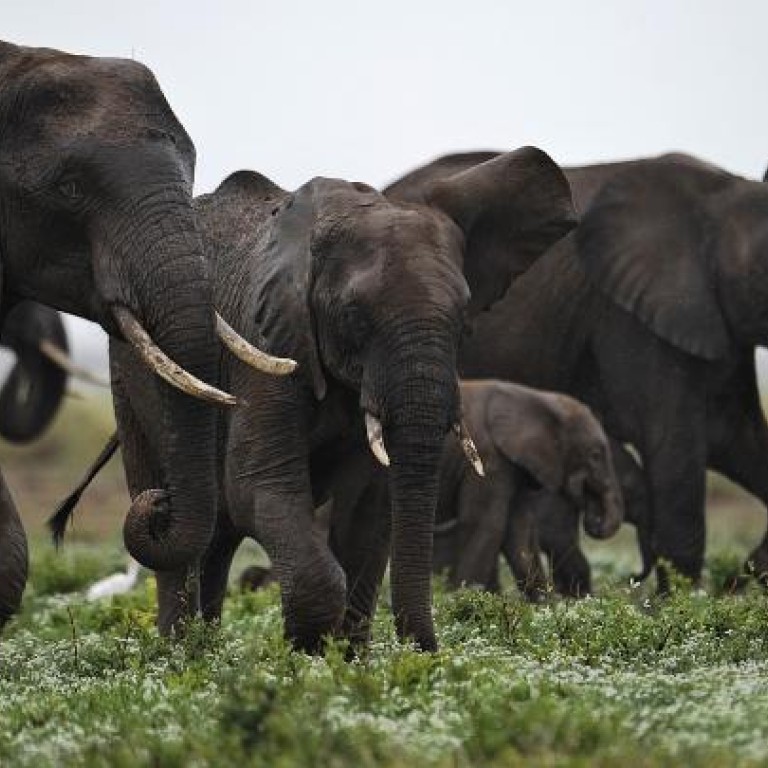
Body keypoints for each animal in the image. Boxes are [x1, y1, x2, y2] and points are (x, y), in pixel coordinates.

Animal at [385, 150, 768, 589]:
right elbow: (676, 445)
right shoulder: (634, 317)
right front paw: (680, 598)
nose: (633, 578)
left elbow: (734, 436)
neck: (726, 196)